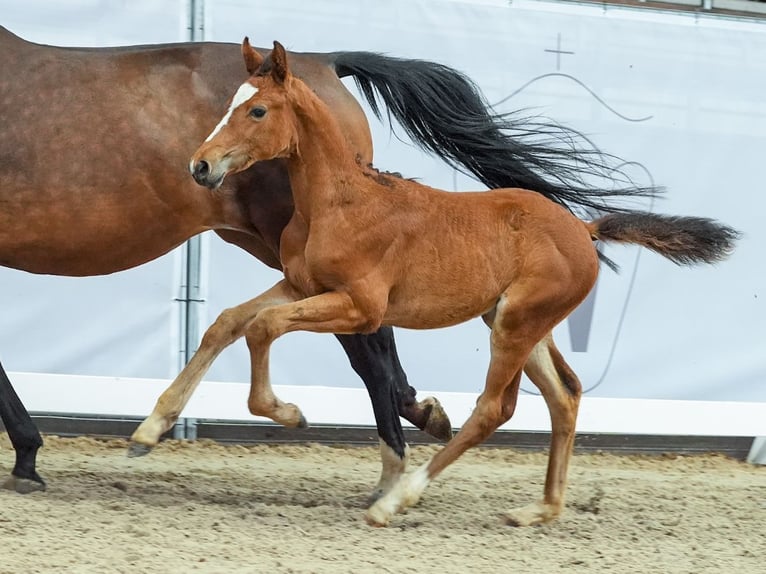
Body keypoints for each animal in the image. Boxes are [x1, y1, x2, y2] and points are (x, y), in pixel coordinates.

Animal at [176, 38, 744, 528]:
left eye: (257, 111)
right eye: (231, 102)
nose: (200, 165)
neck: (339, 203)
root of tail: (584, 230)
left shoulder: (361, 306)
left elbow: (265, 326)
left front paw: (289, 413)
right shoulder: (300, 286)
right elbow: (234, 320)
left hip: (515, 324)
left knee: (494, 408)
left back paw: (395, 502)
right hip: (518, 322)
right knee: (564, 396)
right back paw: (540, 510)